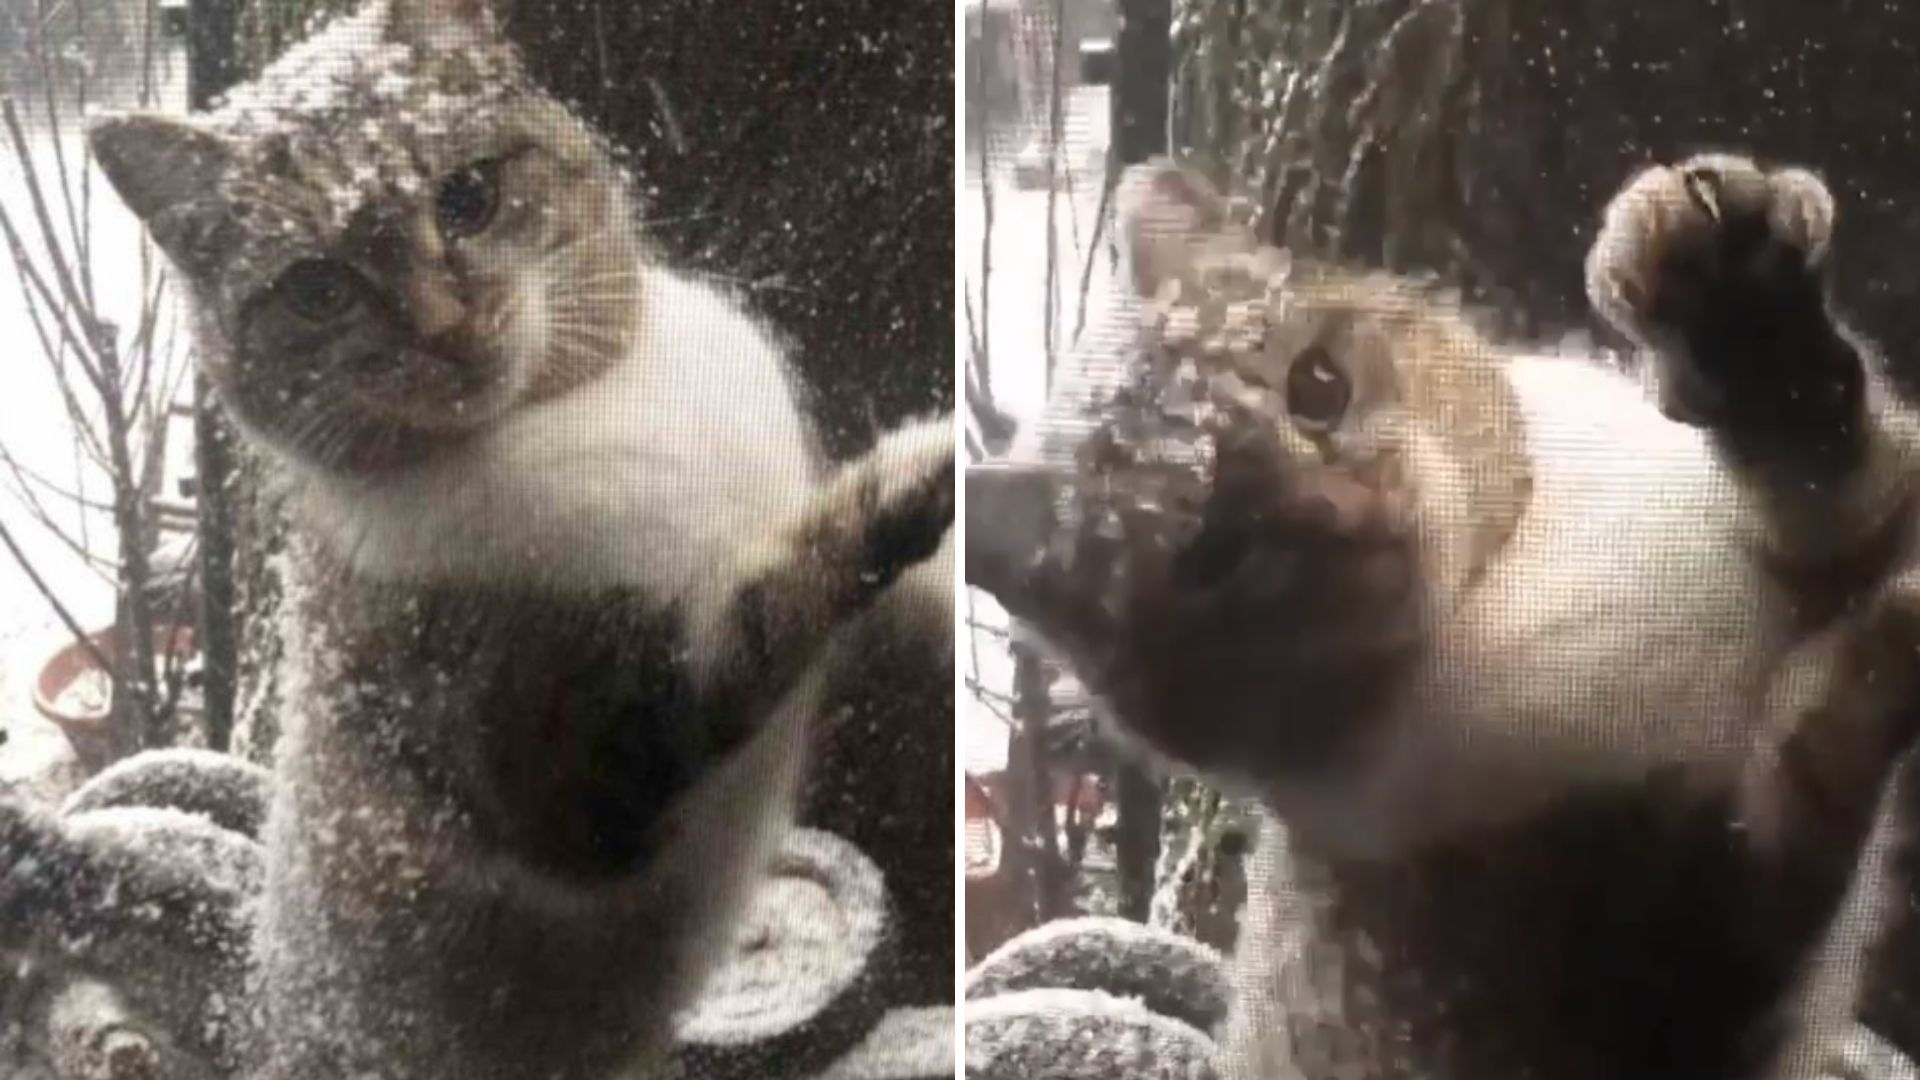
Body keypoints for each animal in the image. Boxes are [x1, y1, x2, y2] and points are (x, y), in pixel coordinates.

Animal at [82, 2, 952, 1076]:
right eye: (316, 288)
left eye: (468, 196)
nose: (442, 326)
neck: (588, 405)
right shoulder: (580, 768)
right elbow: (772, 603)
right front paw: (914, 475)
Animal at [975, 153, 1920, 1076]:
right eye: (1212, 555)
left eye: (1317, 384)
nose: (1351, 516)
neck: (1503, 582)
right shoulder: (1654, 958)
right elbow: (1797, 782)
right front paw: (1877, 653)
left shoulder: (1853, 514)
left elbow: (1837, 469)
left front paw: (1746, 323)